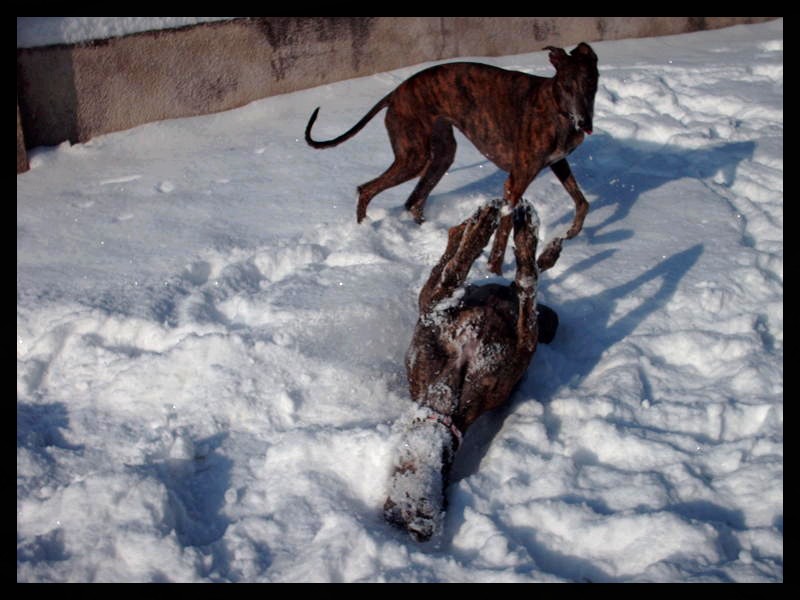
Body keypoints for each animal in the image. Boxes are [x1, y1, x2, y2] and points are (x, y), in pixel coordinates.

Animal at [305, 43, 598, 274]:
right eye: (566, 85)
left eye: (591, 84)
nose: (584, 124)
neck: (555, 107)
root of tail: (395, 93)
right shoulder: (516, 181)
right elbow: (503, 235)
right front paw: (494, 271)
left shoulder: (558, 162)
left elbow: (582, 202)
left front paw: (572, 233)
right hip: (414, 156)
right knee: (367, 189)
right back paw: (363, 232)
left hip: (441, 155)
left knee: (413, 202)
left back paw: (432, 235)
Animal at [383, 199, 561, 541]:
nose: (422, 525)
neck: (442, 408)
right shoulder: (520, 346)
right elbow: (521, 286)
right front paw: (513, 238)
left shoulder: (438, 316)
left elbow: (517, 282)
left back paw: (498, 225)